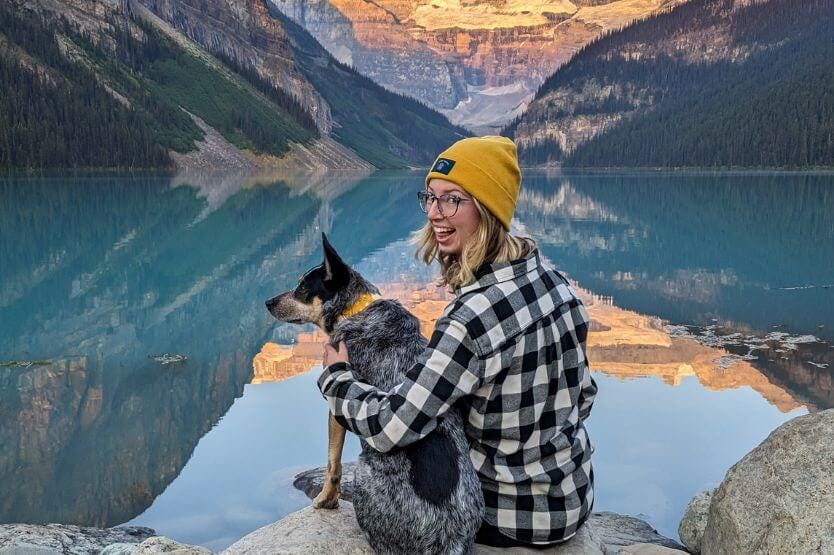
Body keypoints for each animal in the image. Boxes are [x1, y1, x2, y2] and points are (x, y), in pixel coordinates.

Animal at [264, 235, 484, 555]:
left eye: (302, 288)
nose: (267, 302)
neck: (356, 310)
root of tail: (447, 541)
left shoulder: (337, 404)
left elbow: (332, 463)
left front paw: (325, 500)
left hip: (364, 474)